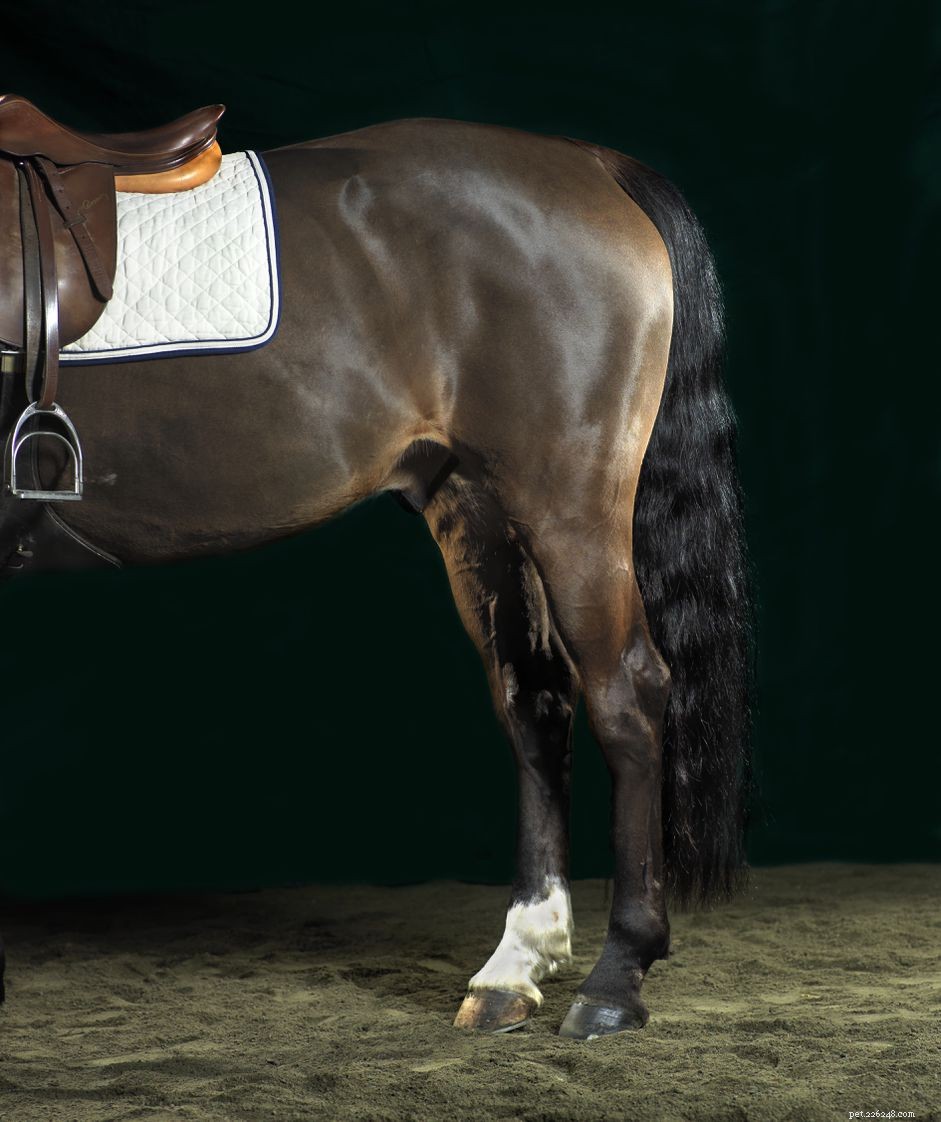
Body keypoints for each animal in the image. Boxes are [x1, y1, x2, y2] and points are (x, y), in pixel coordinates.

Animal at [0, 110, 752, 1039]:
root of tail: (592, 165)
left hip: (571, 506)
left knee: (627, 696)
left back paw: (615, 979)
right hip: (476, 509)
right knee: (534, 702)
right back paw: (514, 964)